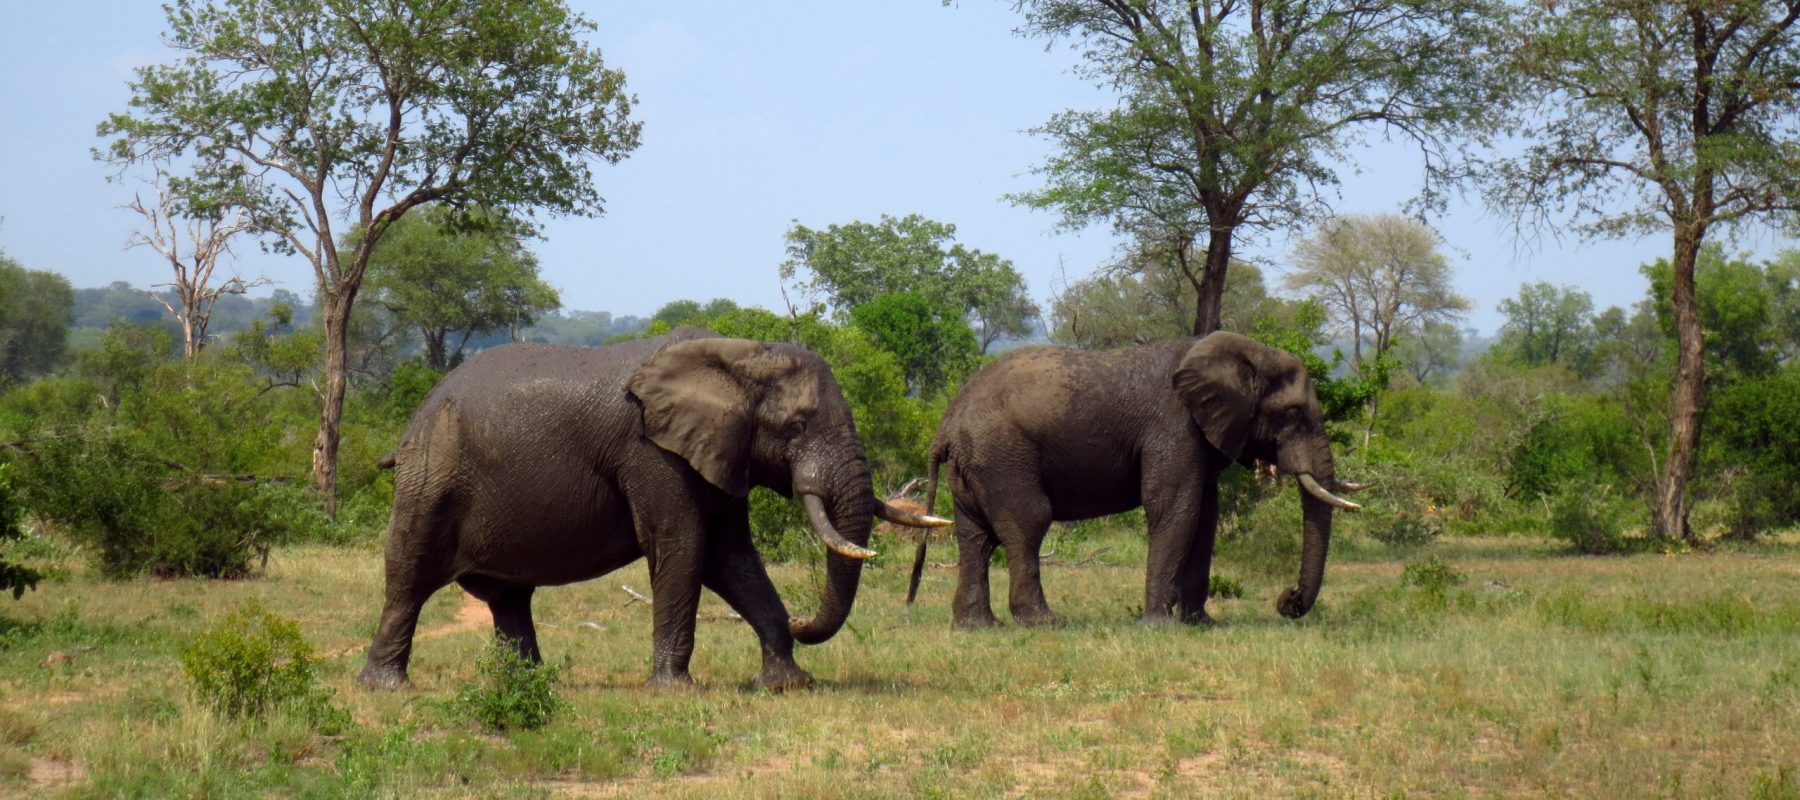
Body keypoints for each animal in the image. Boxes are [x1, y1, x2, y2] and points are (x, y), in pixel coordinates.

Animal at [367, 327, 957, 691]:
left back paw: (529, 684)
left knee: (509, 598)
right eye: (796, 427)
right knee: (409, 574)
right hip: (431, 477)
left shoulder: (719, 453)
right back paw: (387, 687)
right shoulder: (651, 451)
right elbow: (683, 545)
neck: (737, 357)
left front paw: (789, 685)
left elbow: (732, 558)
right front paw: (674, 690)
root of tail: (414, 422)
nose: (800, 618)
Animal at [907, 329, 1353, 623]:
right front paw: (1158, 626)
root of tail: (947, 423)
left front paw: (1202, 626)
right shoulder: (1173, 428)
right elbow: (1173, 508)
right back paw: (1046, 623)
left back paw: (978, 627)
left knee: (975, 538)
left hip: (974, 465)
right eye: (1292, 414)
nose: (1287, 599)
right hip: (1002, 456)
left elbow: (1204, 517)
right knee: (1027, 525)